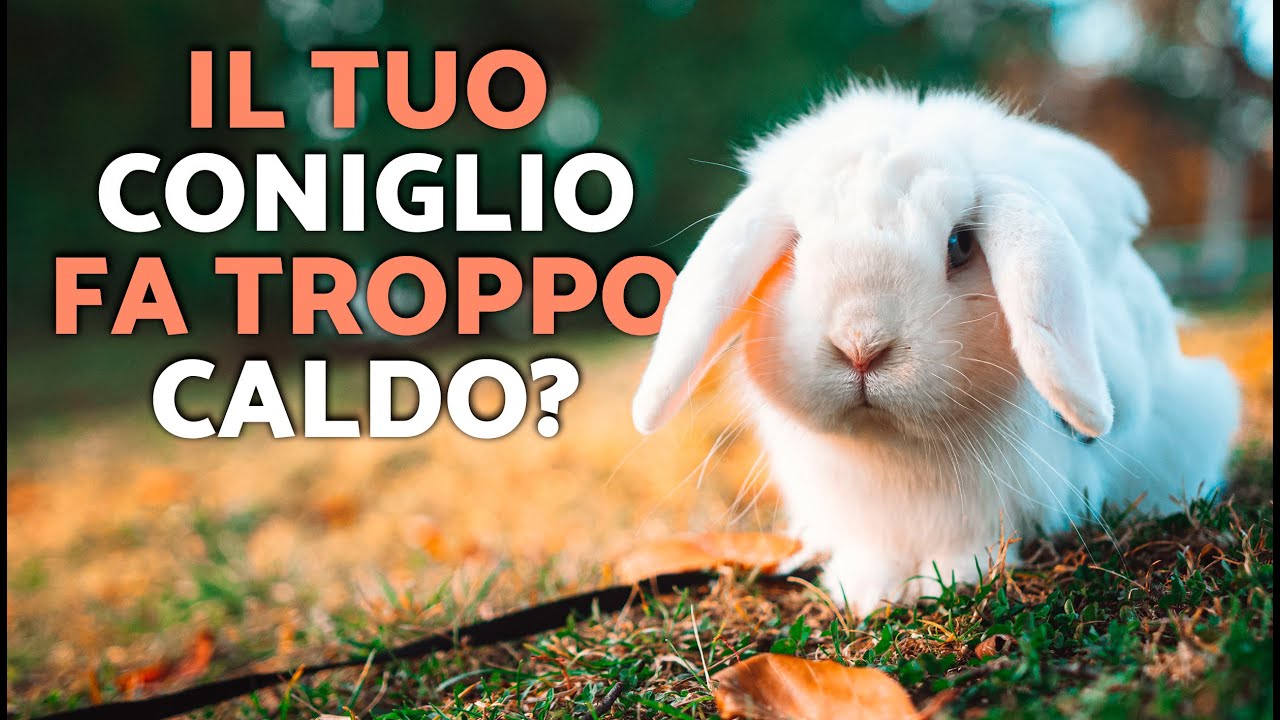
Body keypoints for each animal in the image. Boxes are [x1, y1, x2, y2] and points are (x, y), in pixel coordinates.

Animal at [631, 83, 1241, 614]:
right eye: (797, 246)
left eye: (959, 244)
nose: (861, 343)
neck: (895, 453)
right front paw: (866, 591)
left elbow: (971, 542)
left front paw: (948, 581)